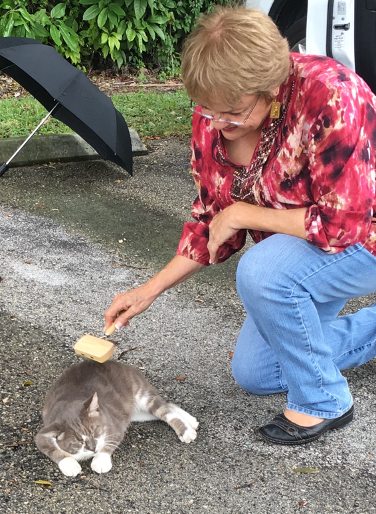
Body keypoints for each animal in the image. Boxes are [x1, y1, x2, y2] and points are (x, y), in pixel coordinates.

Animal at [35, 358, 198, 474]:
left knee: (166, 411)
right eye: (78, 441)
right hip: (135, 413)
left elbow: (110, 442)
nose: (93, 449)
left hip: (141, 394)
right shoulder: (44, 432)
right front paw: (69, 464)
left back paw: (186, 430)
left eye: (95, 432)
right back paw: (191, 421)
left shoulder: (115, 423)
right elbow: (51, 450)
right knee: (169, 405)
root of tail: (119, 363)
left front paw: (100, 460)